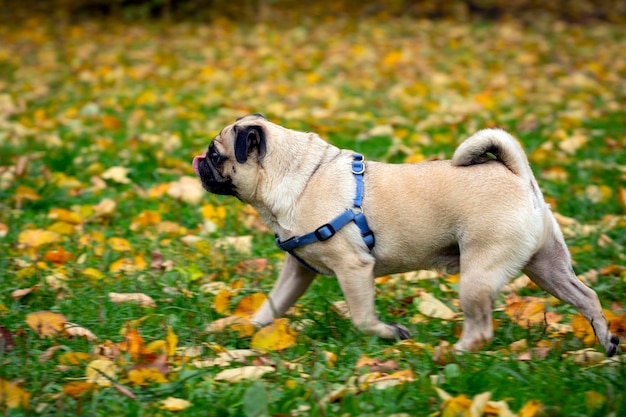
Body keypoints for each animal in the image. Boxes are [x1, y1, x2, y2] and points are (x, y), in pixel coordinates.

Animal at [193, 114, 616, 354]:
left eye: (216, 155)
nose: (198, 160)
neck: (299, 174)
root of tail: (517, 175)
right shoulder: (298, 271)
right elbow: (271, 306)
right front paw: (244, 328)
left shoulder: (353, 268)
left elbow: (362, 318)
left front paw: (390, 333)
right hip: (546, 266)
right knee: (586, 296)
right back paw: (607, 339)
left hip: (478, 275)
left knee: (480, 329)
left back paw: (452, 354)